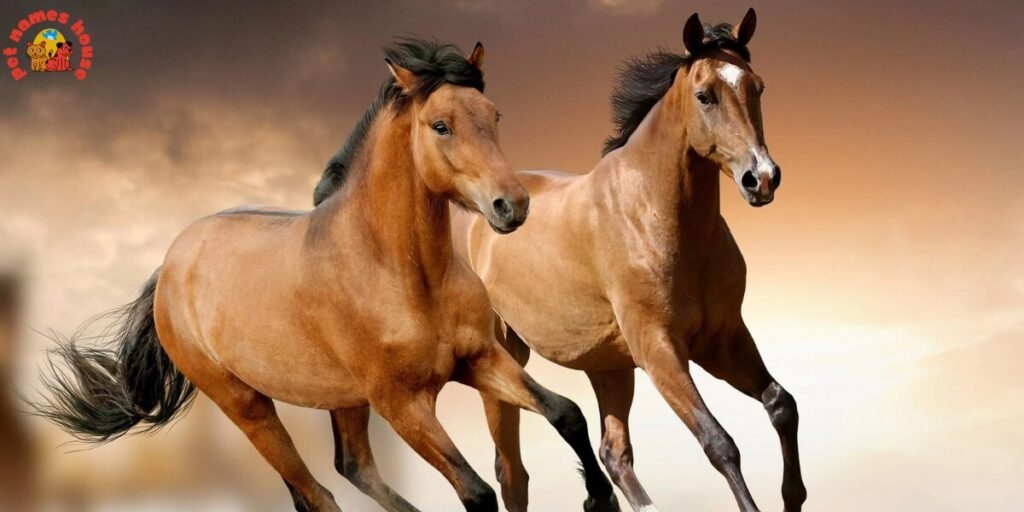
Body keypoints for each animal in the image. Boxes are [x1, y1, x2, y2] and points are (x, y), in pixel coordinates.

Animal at [36, 39, 618, 512]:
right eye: (441, 125)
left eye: (494, 115)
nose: (511, 205)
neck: (403, 274)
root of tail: (170, 268)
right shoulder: (403, 404)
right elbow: (475, 492)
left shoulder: (479, 358)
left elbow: (567, 413)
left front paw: (601, 498)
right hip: (248, 406)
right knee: (314, 494)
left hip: (343, 399)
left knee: (352, 467)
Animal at [451, 10, 806, 512]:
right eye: (705, 95)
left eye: (757, 87)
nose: (762, 178)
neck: (654, 216)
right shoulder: (659, 350)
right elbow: (719, 443)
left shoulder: (722, 340)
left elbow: (781, 404)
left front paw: (793, 497)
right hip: (502, 358)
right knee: (511, 472)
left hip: (609, 368)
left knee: (613, 454)